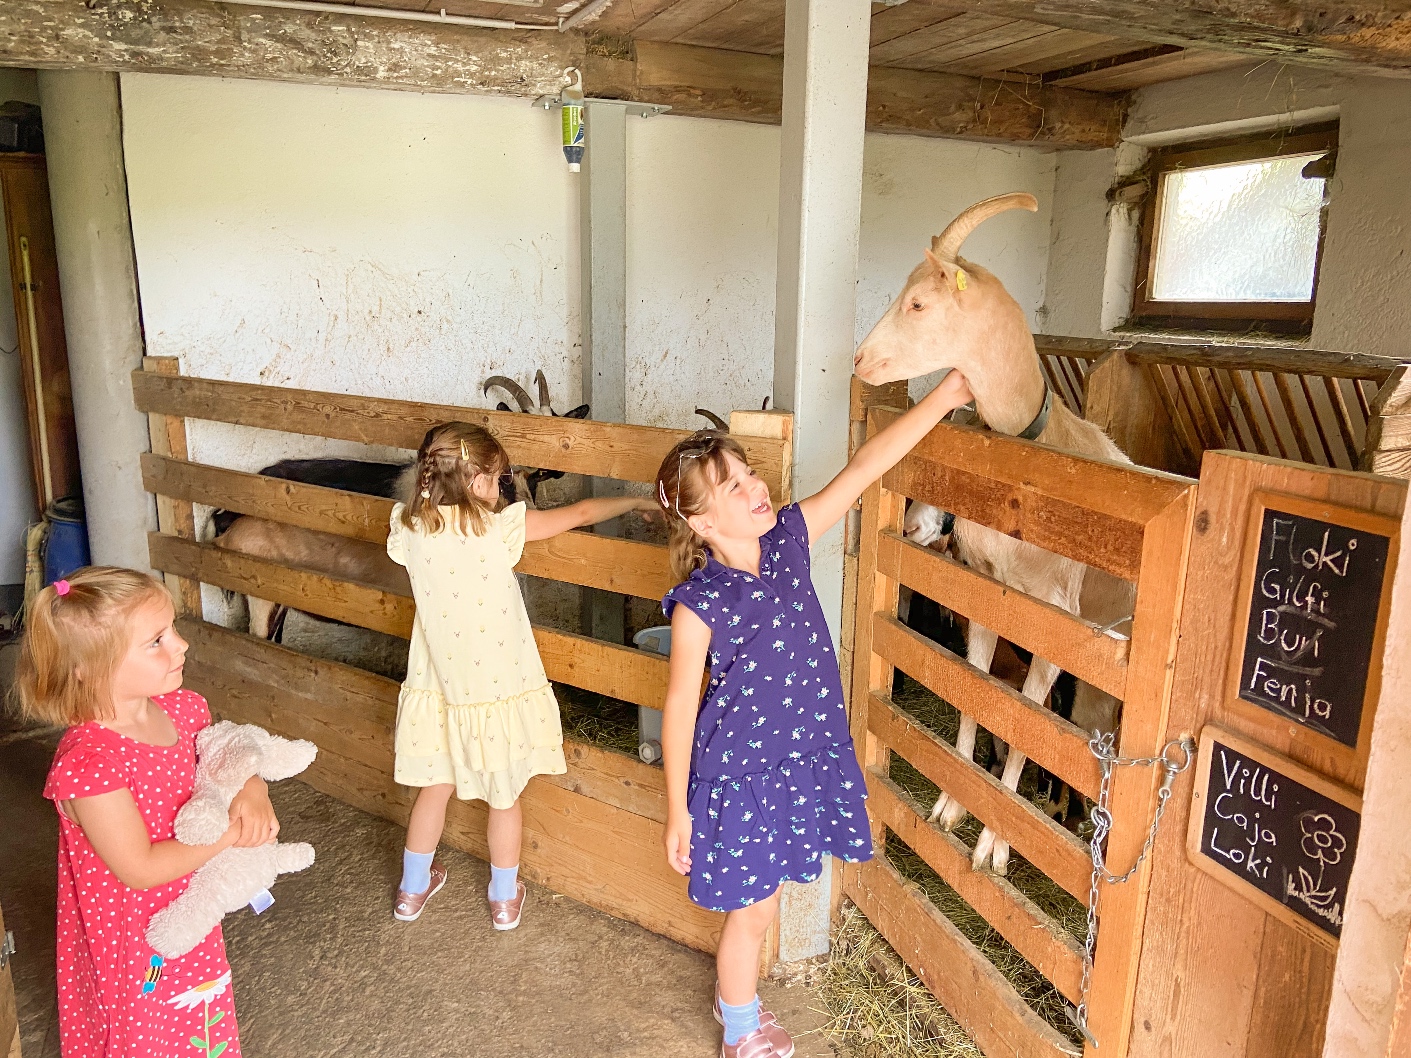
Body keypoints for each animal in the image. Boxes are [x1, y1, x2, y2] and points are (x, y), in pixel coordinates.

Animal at [846, 193, 1134, 880]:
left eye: (918, 303)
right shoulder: (981, 589)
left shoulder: (1054, 620)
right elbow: (976, 693)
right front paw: (951, 804)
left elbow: (1026, 722)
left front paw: (994, 846)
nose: (860, 359)